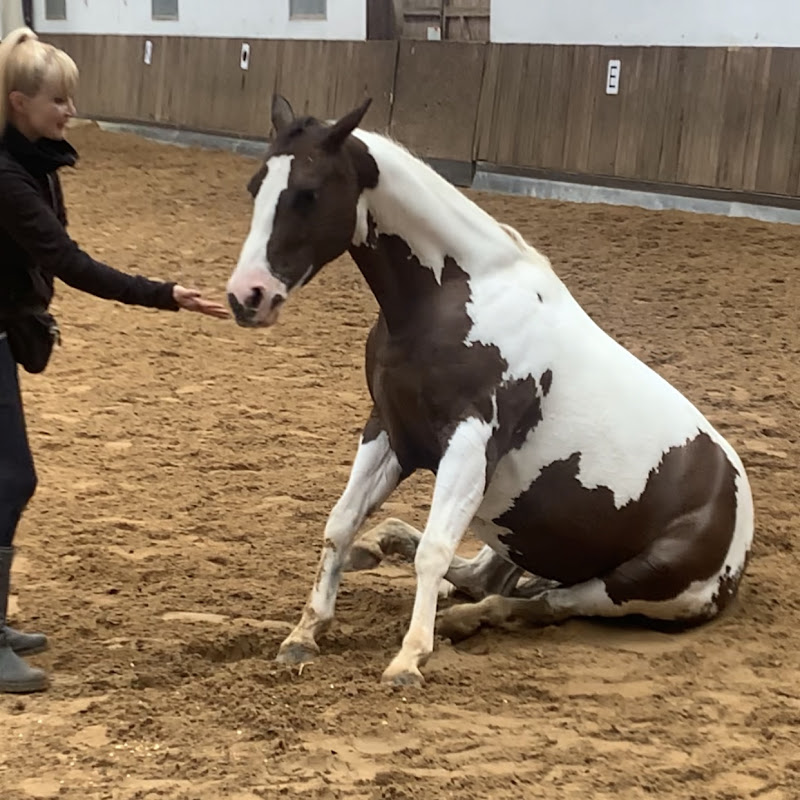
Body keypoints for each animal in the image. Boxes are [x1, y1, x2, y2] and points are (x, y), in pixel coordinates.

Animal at [225, 95, 754, 686]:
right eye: (256, 186)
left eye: (308, 193)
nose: (248, 296)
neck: (456, 298)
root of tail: (738, 530)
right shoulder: (388, 429)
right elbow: (341, 524)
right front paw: (304, 634)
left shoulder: (470, 443)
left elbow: (434, 551)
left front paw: (409, 659)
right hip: (519, 537)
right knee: (490, 578)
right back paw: (388, 548)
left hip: (632, 585)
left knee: (543, 603)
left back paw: (458, 619)